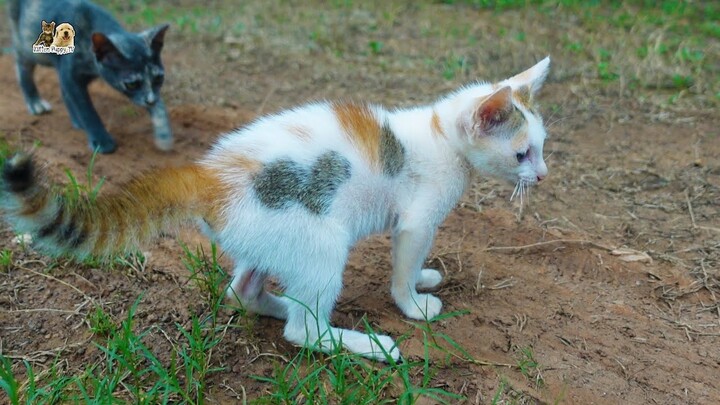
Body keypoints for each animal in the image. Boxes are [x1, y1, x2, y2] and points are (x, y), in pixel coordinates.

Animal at [1, 57, 552, 360]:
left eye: (543, 147)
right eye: (522, 154)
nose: (542, 176)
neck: (440, 136)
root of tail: (208, 174)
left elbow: (413, 265)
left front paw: (423, 281)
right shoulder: (416, 222)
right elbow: (403, 265)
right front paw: (413, 304)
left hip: (268, 236)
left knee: (242, 290)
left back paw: (284, 302)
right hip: (321, 240)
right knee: (303, 333)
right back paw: (360, 343)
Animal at [7, 0, 172, 153]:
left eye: (159, 79)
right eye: (132, 84)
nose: (150, 100)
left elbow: (159, 104)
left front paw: (163, 134)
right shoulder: (71, 75)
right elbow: (86, 108)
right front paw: (102, 141)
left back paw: (76, 120)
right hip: (29, 46)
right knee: (22, 65)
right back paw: (35, 102)